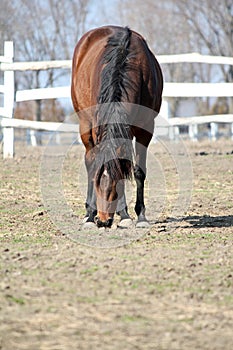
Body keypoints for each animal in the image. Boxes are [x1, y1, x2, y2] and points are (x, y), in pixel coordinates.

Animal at [71, 26, 164, 228]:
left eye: (114, 183)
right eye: (99, 183)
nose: (103, 220)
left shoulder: (145, 129)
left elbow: (137, 170)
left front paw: (138, 216)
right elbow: (95, 166)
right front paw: (92, 214)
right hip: (85, 124)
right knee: (89, 161)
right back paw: (89, 213)